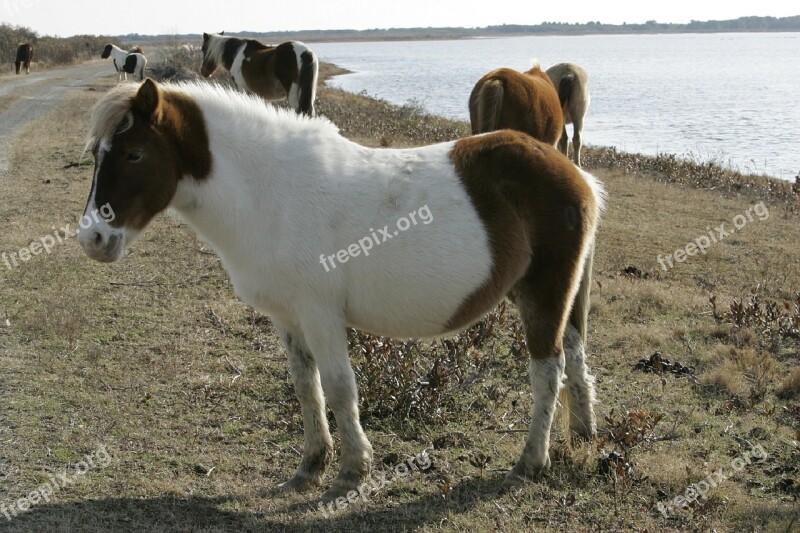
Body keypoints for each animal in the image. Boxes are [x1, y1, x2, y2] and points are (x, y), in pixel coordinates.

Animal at [78, 78, 604, 498]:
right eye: (98, 156)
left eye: (134, 153)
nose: (93, 239)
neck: (272, 192)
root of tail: (576, 175)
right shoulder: (287, 317)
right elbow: (306, 387)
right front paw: (310, 466)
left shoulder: (320, 314)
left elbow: (338, 387)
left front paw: (353, 470)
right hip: (559, 297)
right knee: (577, 357)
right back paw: (584, 436)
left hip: (544, 295)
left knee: (548, 371)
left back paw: (531, 462)